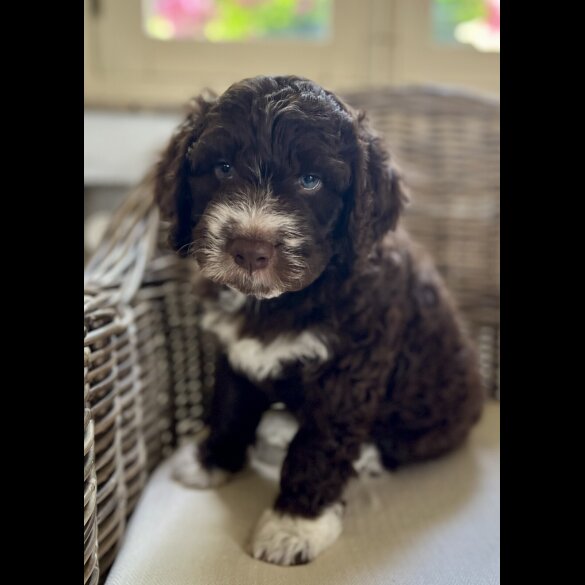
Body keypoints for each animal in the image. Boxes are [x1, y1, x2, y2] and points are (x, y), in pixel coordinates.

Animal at [152, 74, 484, 564]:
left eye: (311, 181)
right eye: (224, 168)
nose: (250, 249)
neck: (278, 301)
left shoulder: (348, 374)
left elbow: (318, 446)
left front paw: (294, 526)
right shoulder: (235, 353)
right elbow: (229, 406)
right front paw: (211, 460)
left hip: (441, 407)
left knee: (413, 441)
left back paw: (368, 455)